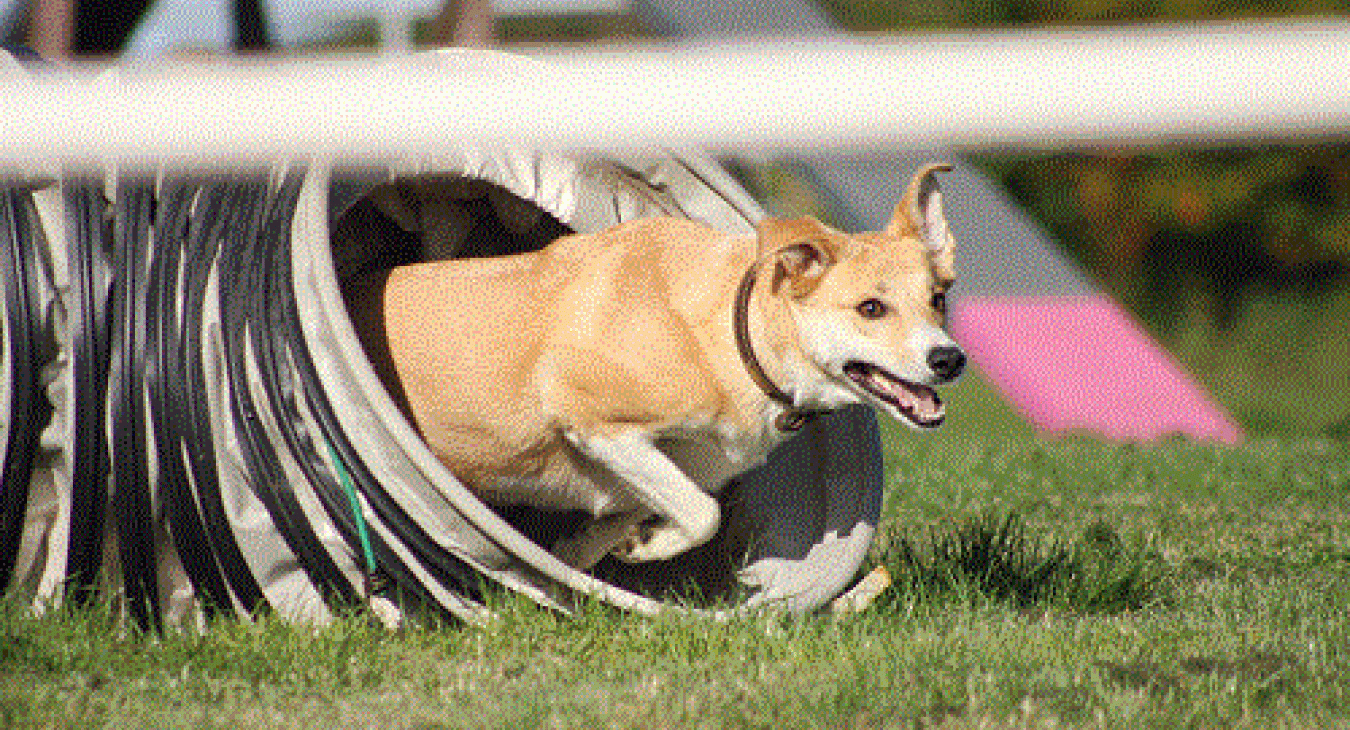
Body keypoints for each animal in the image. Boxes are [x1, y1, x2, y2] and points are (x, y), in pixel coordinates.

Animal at [342, 161, 966, 566]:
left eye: (937, 298)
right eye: (871, 308)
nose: (950, 359)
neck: (731, 338)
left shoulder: (680, 463)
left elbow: (654, 505)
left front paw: (610, 549)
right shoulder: (593, 420)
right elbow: (702, 512)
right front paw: (648, 548)